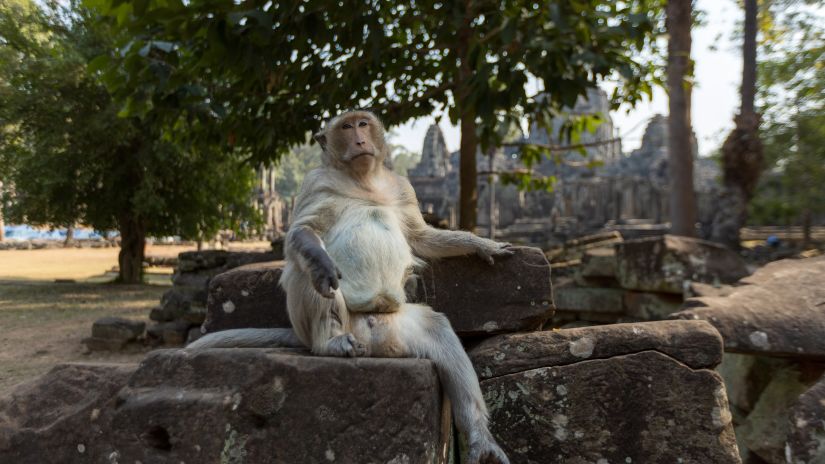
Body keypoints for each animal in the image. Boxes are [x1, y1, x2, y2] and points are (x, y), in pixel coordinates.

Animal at [190, 109, 512, 464]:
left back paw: (480, 439)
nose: (359, 140)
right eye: (346, 126)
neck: (363, 180)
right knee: (307, 275)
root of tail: (371, 342)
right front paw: (321, 261)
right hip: (326, 325)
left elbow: (421, 236)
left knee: (439, 331)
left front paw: (482, 244)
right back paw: (330, 340)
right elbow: (301, 232)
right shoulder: (315, 183)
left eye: (363, 124)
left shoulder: (403, 188)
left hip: (398, 328)